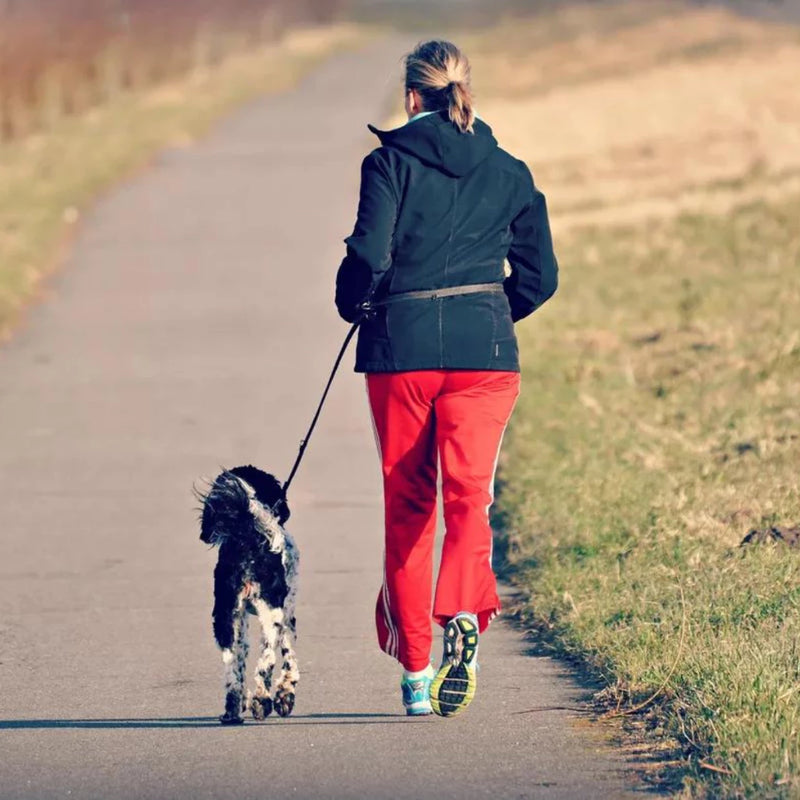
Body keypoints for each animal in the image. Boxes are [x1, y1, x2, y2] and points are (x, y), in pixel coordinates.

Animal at [198, 466, 298, 720]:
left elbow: (241, 660)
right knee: (267, 660)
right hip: (272, 614)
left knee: (231, 667)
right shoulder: (287, 613)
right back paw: (261, 701)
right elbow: (288, 657)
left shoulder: (240, 617)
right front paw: (285, 695)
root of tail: (248, 539)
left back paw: (232, 709)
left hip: (224, 617)